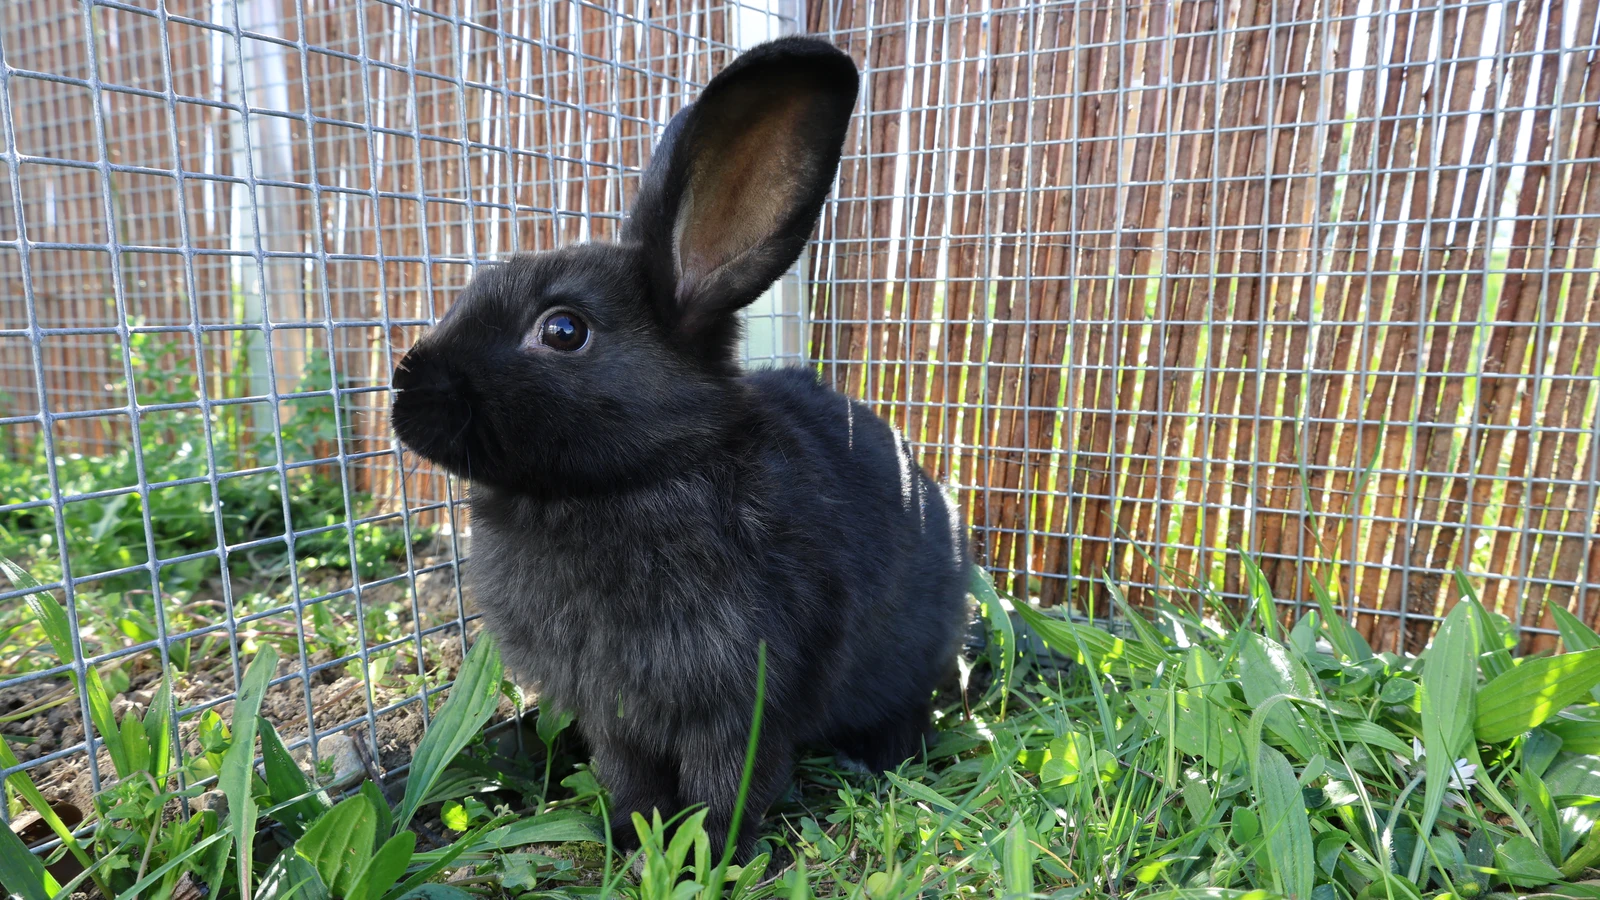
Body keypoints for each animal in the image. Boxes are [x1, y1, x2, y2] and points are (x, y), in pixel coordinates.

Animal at [389, 35, 970, 863]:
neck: (627, 484)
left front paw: (710, 854)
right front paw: (634, 838)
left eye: (563, 330)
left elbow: (729, 786)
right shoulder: (615, 720)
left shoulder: (746, 704)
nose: (404, 388)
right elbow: (629, 778)